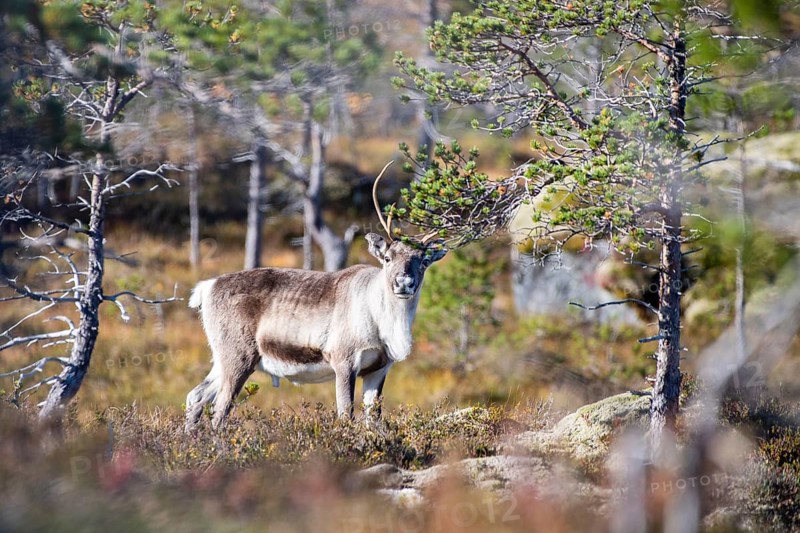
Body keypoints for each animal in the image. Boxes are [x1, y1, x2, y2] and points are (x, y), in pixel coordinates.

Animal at [185, 162, 447, 430]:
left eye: (424, 261)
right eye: (387, 258)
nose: (404, 283)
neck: (380, 319)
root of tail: (207, 287)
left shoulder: (379, 369)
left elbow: (374, 420)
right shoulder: (344, 361)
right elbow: (345, 414)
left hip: (222, 360)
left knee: (196, 396)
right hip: (237, 357)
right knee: (219, 411)